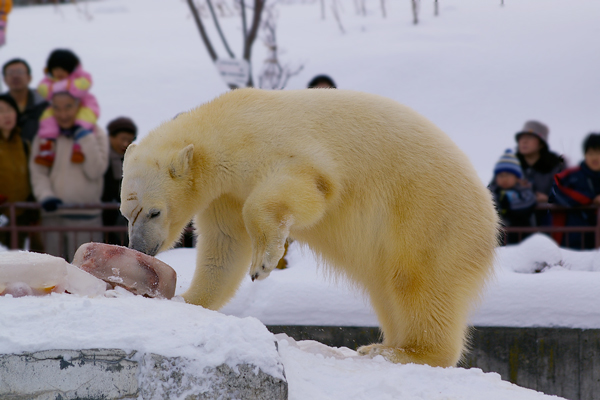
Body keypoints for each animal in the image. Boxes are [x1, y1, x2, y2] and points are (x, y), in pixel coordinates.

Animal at [120, 89, 496, 368]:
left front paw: (264, 262)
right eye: (126, 213)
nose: (140, 248)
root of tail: (489, 219)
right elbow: (225, 245)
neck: (227, 124)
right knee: (387, 290)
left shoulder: (274, 146)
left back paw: (402, 352)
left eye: (154, 212)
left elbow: (307, 189)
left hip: (429, 216)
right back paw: (383, 344)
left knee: (418, 282)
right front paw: (188, 300)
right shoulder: (225, 194)